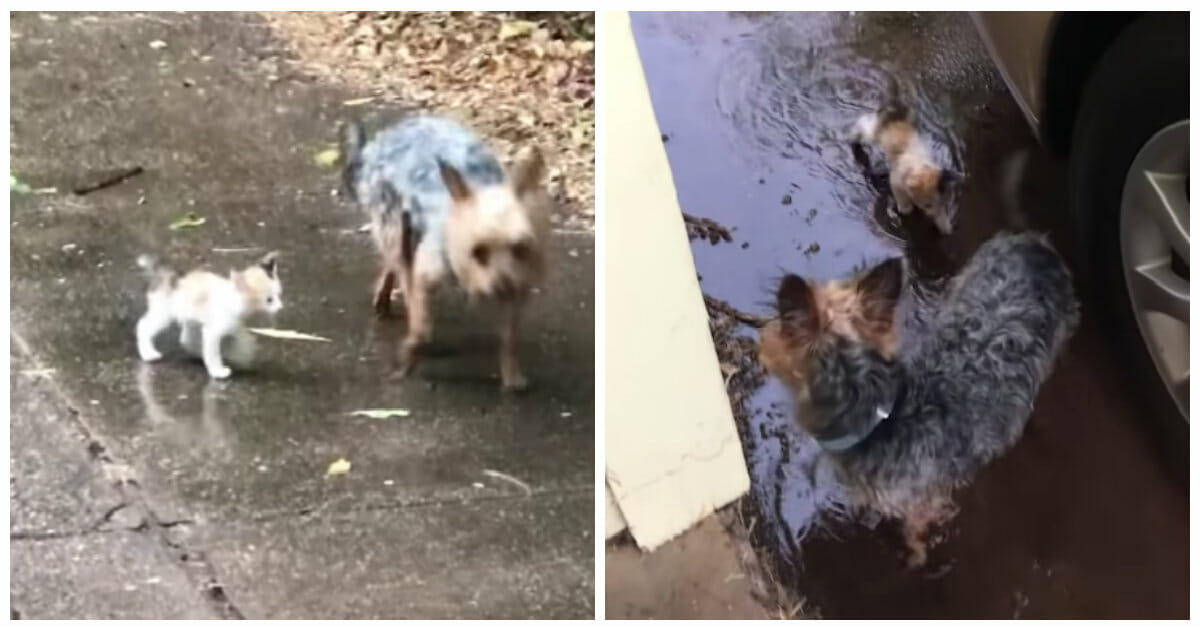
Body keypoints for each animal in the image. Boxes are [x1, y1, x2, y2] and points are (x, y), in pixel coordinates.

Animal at [136, 250, 283, 379]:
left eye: (278, 295)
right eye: (269, 300)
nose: (280, 307)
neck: (234, 299)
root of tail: (170, 277)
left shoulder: (234, 325)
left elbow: (241, 341)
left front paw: (242, 355)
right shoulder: (214, 330)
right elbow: (213, 352)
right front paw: (218, 371)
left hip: (191, 319)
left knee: (186, 339)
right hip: (164, 313)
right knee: (143, 326)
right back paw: (148, 353)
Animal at [338, 112, 552, 388]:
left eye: (520, 248)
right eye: (478, 252)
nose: (501, 287)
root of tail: (381, 140)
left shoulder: (520, 285)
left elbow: (510, 338)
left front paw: (512, 376)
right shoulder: (427, 273)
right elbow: (419, 326)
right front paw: (406, 363)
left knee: (395, 263)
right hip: (393, 220)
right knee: (399, 263)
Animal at [758, 230, 1080, 564]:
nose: (762, 333)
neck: (878, 416)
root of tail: (1036, 245)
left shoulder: (926, 501)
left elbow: (915, 532)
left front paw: (915, 557)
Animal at [849, 79, 960, 232]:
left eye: (941, 204)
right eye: (927, 205)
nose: (932, 214)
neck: (920, 166)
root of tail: (896, 110)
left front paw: (945, 226)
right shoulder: (896, 178)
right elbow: (899, 192)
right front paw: (905, 208)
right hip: (877, 132)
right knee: (865, 125)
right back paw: (854, 137)